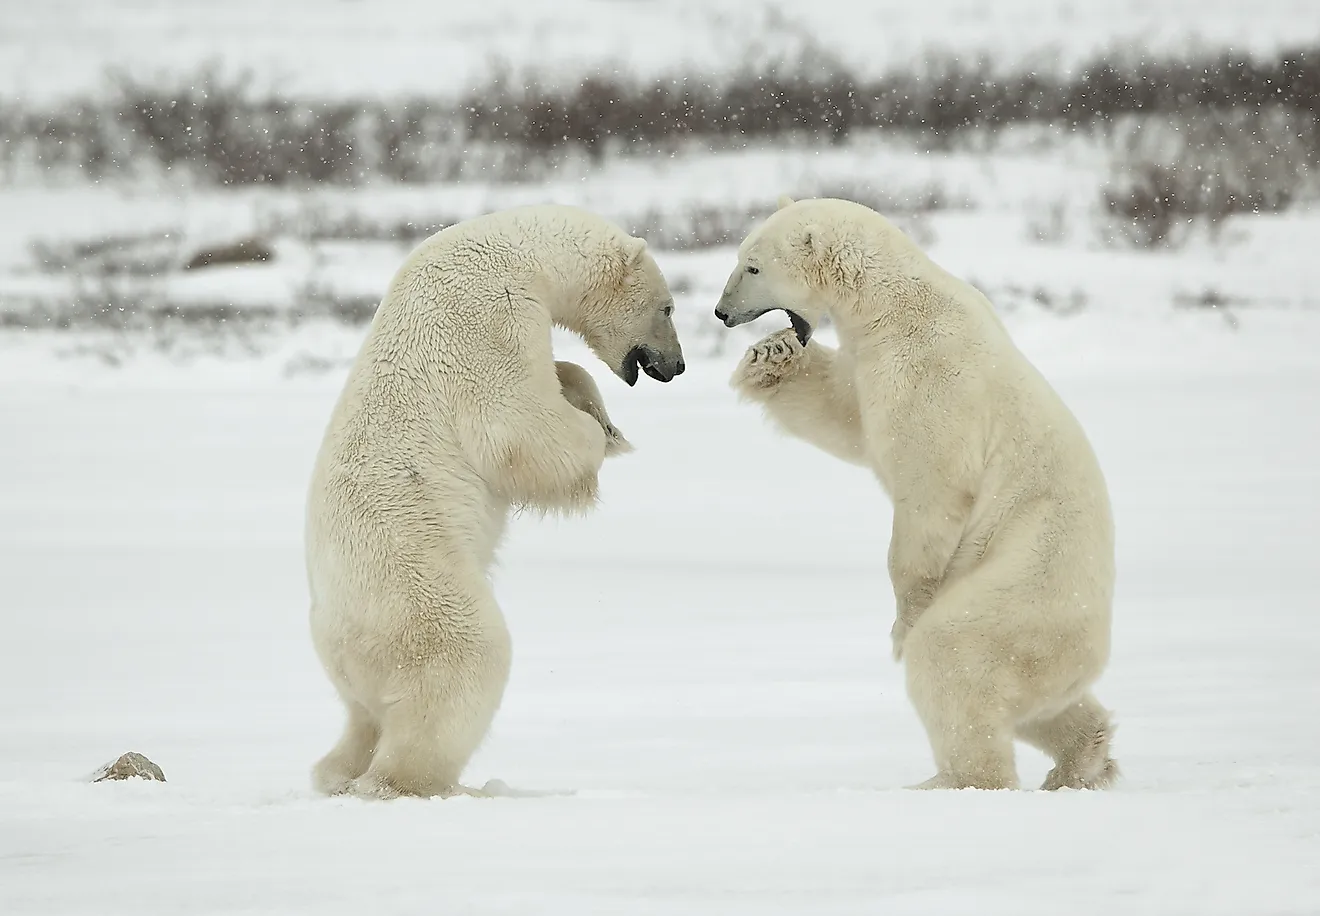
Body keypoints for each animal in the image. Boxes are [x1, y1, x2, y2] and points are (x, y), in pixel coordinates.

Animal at [304, 204, 686, 802]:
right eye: (667, 307)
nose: (677, 366)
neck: (519, 250)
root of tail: (335, 633)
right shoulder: (485, 315)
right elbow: (517, 425)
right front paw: (600, 436)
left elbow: (561, 378)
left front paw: (594, 406)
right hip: (414, 586)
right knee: (465, 662)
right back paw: (434, 785)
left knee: (362, 715)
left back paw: (339, 771)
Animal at [718, 197, 1119, 791]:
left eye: (752, 266)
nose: (722, 312)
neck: (892, 305)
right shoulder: (872, 361)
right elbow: (848, 416)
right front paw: (771, 355)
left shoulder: (932, 376)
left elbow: (930, 487)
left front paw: (902, 624)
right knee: (1041, 704)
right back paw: (1081, 759)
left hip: (1025, 584)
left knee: (955, 656)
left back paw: (949, 780)